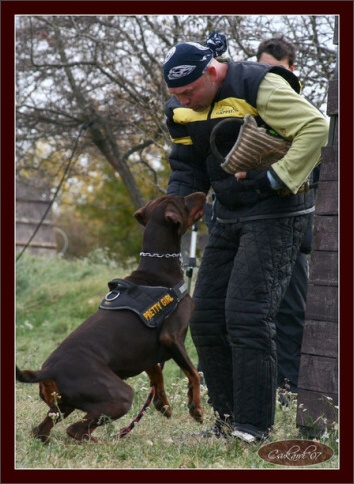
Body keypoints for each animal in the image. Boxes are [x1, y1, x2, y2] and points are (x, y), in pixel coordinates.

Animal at [15, 193, 207, 442]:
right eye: (183, 200)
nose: (202, 194)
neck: (157, 271)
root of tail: (48, 371)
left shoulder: (145, 351)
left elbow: (157, 375)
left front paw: (162, 404)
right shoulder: (171, 337)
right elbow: (193, 373)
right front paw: (196, 408)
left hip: (62, 405)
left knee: (43, 430)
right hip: (119, 394)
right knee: (76, 429)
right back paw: (105, 442)